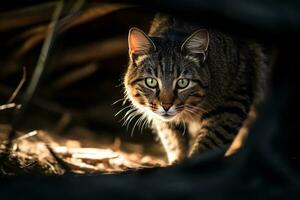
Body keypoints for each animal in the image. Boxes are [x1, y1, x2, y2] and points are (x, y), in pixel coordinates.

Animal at [123, 14, 268, 164]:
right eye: (151, 82)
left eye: (182, 83)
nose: (166, 106)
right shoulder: (163, 119)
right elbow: (173, 140)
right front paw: (177, 159)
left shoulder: (234, 100)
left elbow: (210, 144)